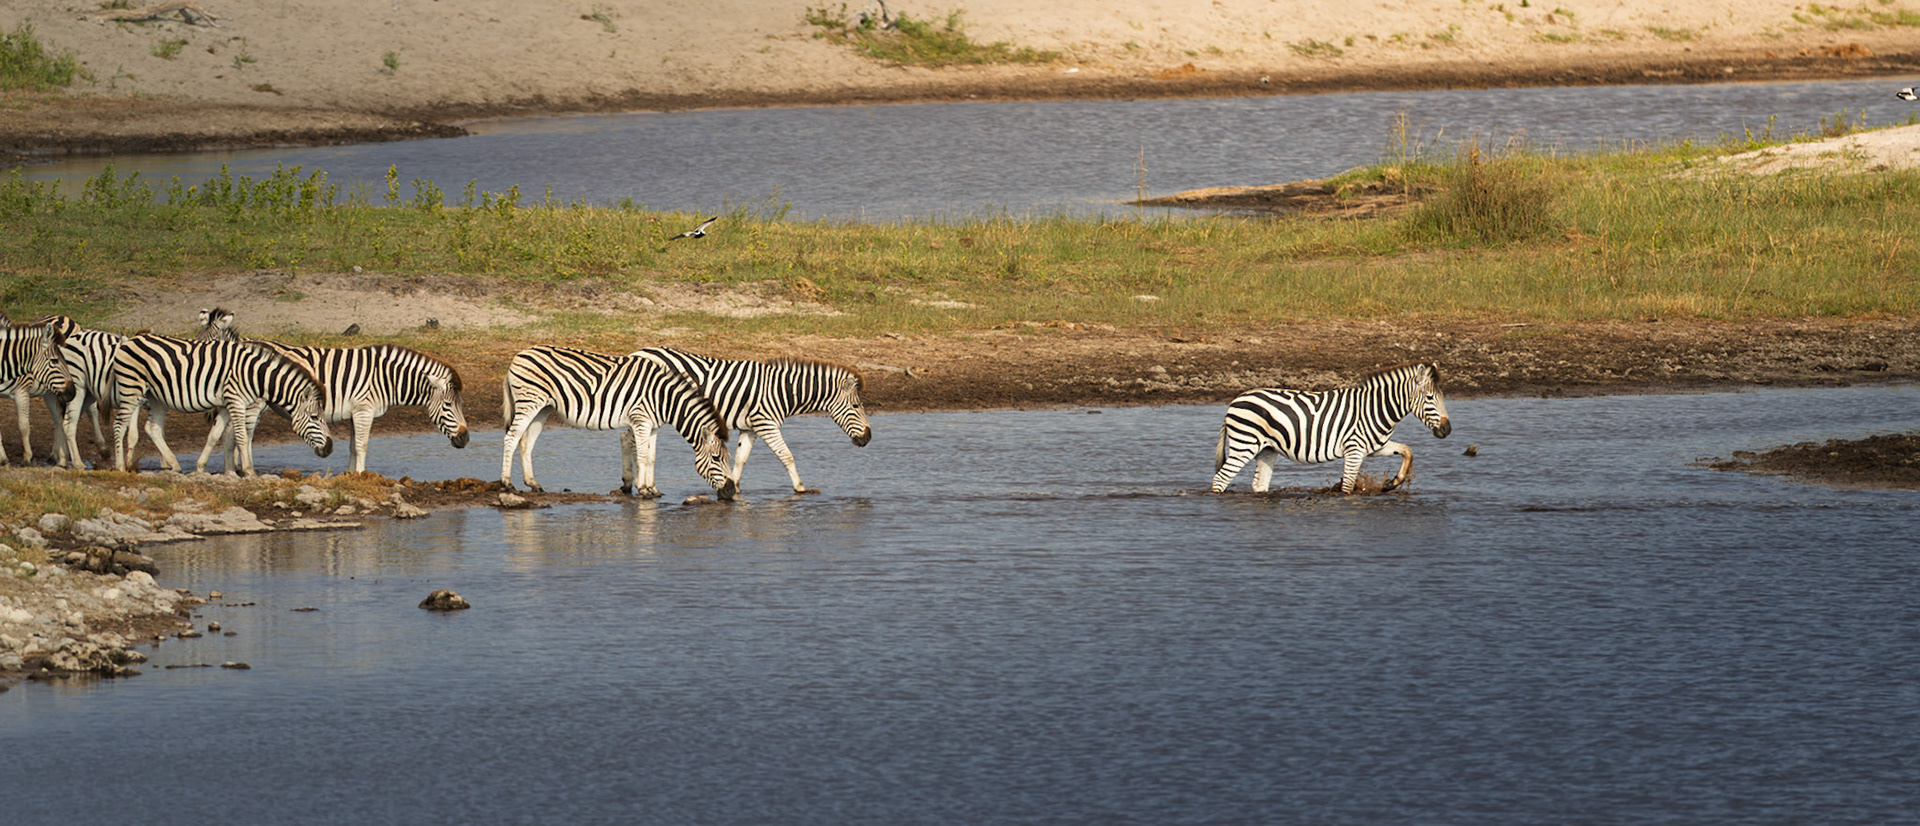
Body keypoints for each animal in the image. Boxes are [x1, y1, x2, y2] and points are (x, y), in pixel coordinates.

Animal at [0, 319, 76, 466]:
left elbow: (24, 426)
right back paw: (54, 456)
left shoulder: (22, 391)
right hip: (51, 393)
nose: (71, 392)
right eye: (55, 360)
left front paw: (27, 457)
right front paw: (3, 459)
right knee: (58, 419)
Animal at [109, 335, 334, 475]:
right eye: (315, 418)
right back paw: (120, 466)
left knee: (152, 427)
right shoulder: (236, 400)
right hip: (131, 388)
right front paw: (249, 471)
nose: (330, 448)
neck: (256, 375)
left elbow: (214, 435)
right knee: (119, 425)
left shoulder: (226, 404)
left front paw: (200, 467)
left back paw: (175, 464)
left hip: (157, 397)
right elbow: (241, 436)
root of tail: (129, 340)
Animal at [500, 345, 736, 499]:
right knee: (511, 437)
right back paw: (507, 483)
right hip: (529, 401)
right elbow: (641, 455)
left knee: (526, 443)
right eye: (717, 458)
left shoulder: (653, 426)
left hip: (544, 408)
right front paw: (643, 489)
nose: (731, 491)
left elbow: (651, 456)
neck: (664, 398)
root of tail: (519, 355)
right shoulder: (641, 420)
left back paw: (533, 484)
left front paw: (653, 489)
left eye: (728, 458)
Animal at [627, 347, 871, 494]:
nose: (868, 437)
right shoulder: (766, 424)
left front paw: (733, 486)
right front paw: (801, 488)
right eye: (856, 407)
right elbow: (786, 455)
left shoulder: (751, 428)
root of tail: (640, 351)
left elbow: (740, 458)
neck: (782, 390)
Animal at [1212, 361, 1451, 495]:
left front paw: (1392, 483)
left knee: (1259, 484)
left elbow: (1407, 451)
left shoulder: (1374, 447)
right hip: (1245, 444)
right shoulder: (1354, 450)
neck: (1375, 408)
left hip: (1266, 449)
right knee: (1220, 479)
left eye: (1441, 397)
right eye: (1430, 398)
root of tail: (1235, 400)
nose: (1447, 430)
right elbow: (1348, 487)